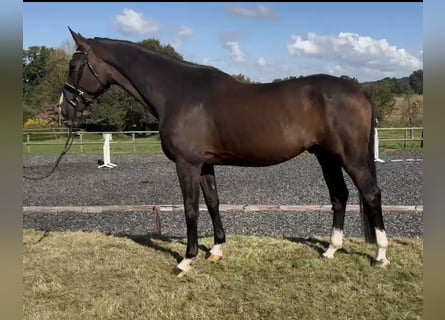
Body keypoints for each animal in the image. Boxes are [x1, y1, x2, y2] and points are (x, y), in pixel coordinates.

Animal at [59, 28, 388, 276]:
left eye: (74, 67)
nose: (64, 110)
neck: (177, 92)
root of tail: (358, 89)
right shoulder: (205, 165)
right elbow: (213, 202)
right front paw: (216, 250)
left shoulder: (187, 164)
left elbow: (191, 208)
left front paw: (186, 260)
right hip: (326, 157)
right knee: (339, 196)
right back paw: (331, 250)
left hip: (351, 158)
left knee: (371, 194)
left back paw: (380, 255)